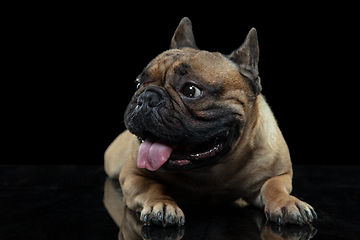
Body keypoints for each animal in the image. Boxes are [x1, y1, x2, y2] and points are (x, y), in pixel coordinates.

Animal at [103, 16, 316, 227]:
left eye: (191, 90)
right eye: (138, 84)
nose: (147, 97)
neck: (210, 169)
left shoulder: (279, 175)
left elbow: (273, 187)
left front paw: (288, 203)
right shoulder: (134, 174)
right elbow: (153, 188)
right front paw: (162, 205)